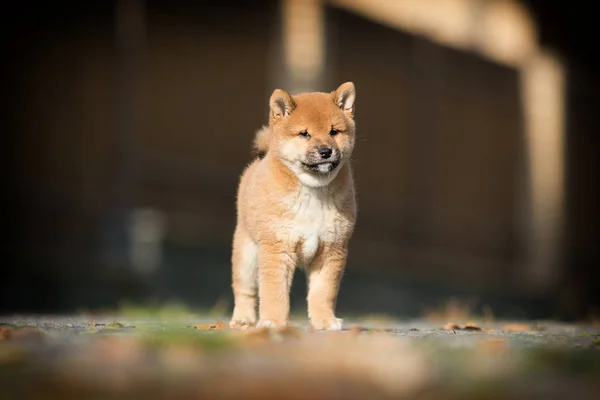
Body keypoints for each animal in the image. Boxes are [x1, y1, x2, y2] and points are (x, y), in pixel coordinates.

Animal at [229, 82, 356, 332]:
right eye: (304, 134)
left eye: (334, 131)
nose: (326, 151)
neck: (313, 193)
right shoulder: (277, 249)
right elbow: (274, 292)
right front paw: (273, 321)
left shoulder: (331, 251)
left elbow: (323, 293)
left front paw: (325, 320)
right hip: (246, 255)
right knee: (245, 290)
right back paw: (242, 319)